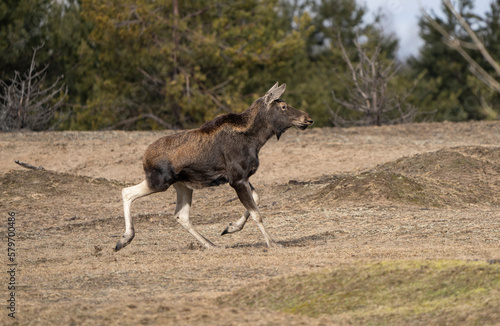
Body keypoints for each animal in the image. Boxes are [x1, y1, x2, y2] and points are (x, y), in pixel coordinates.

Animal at [115, 81, 314, 250]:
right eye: (283, 106)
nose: (308, 119)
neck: (257, 139)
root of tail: (145, 156)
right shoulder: (237, 179)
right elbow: (257, 213)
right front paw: (272, 243)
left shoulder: (242, 177)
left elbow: (256, 199)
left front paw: (231, 227)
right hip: (159, 181)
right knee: (126, 192)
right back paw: (124, 239)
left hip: (183, 185)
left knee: (181, 215)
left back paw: (211, 245)